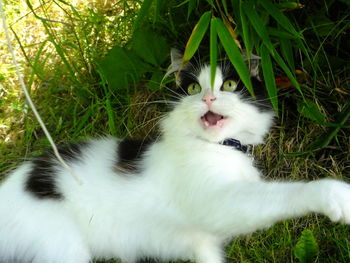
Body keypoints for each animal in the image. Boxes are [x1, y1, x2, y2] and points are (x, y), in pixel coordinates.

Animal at [0, 48, 350, 263]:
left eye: (230, 84)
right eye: (194, 88)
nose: (208, 98)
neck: (217, 147)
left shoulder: (202, 243)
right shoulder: (218, 203)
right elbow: (284, 195)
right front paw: (335, 195)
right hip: (59, 245)